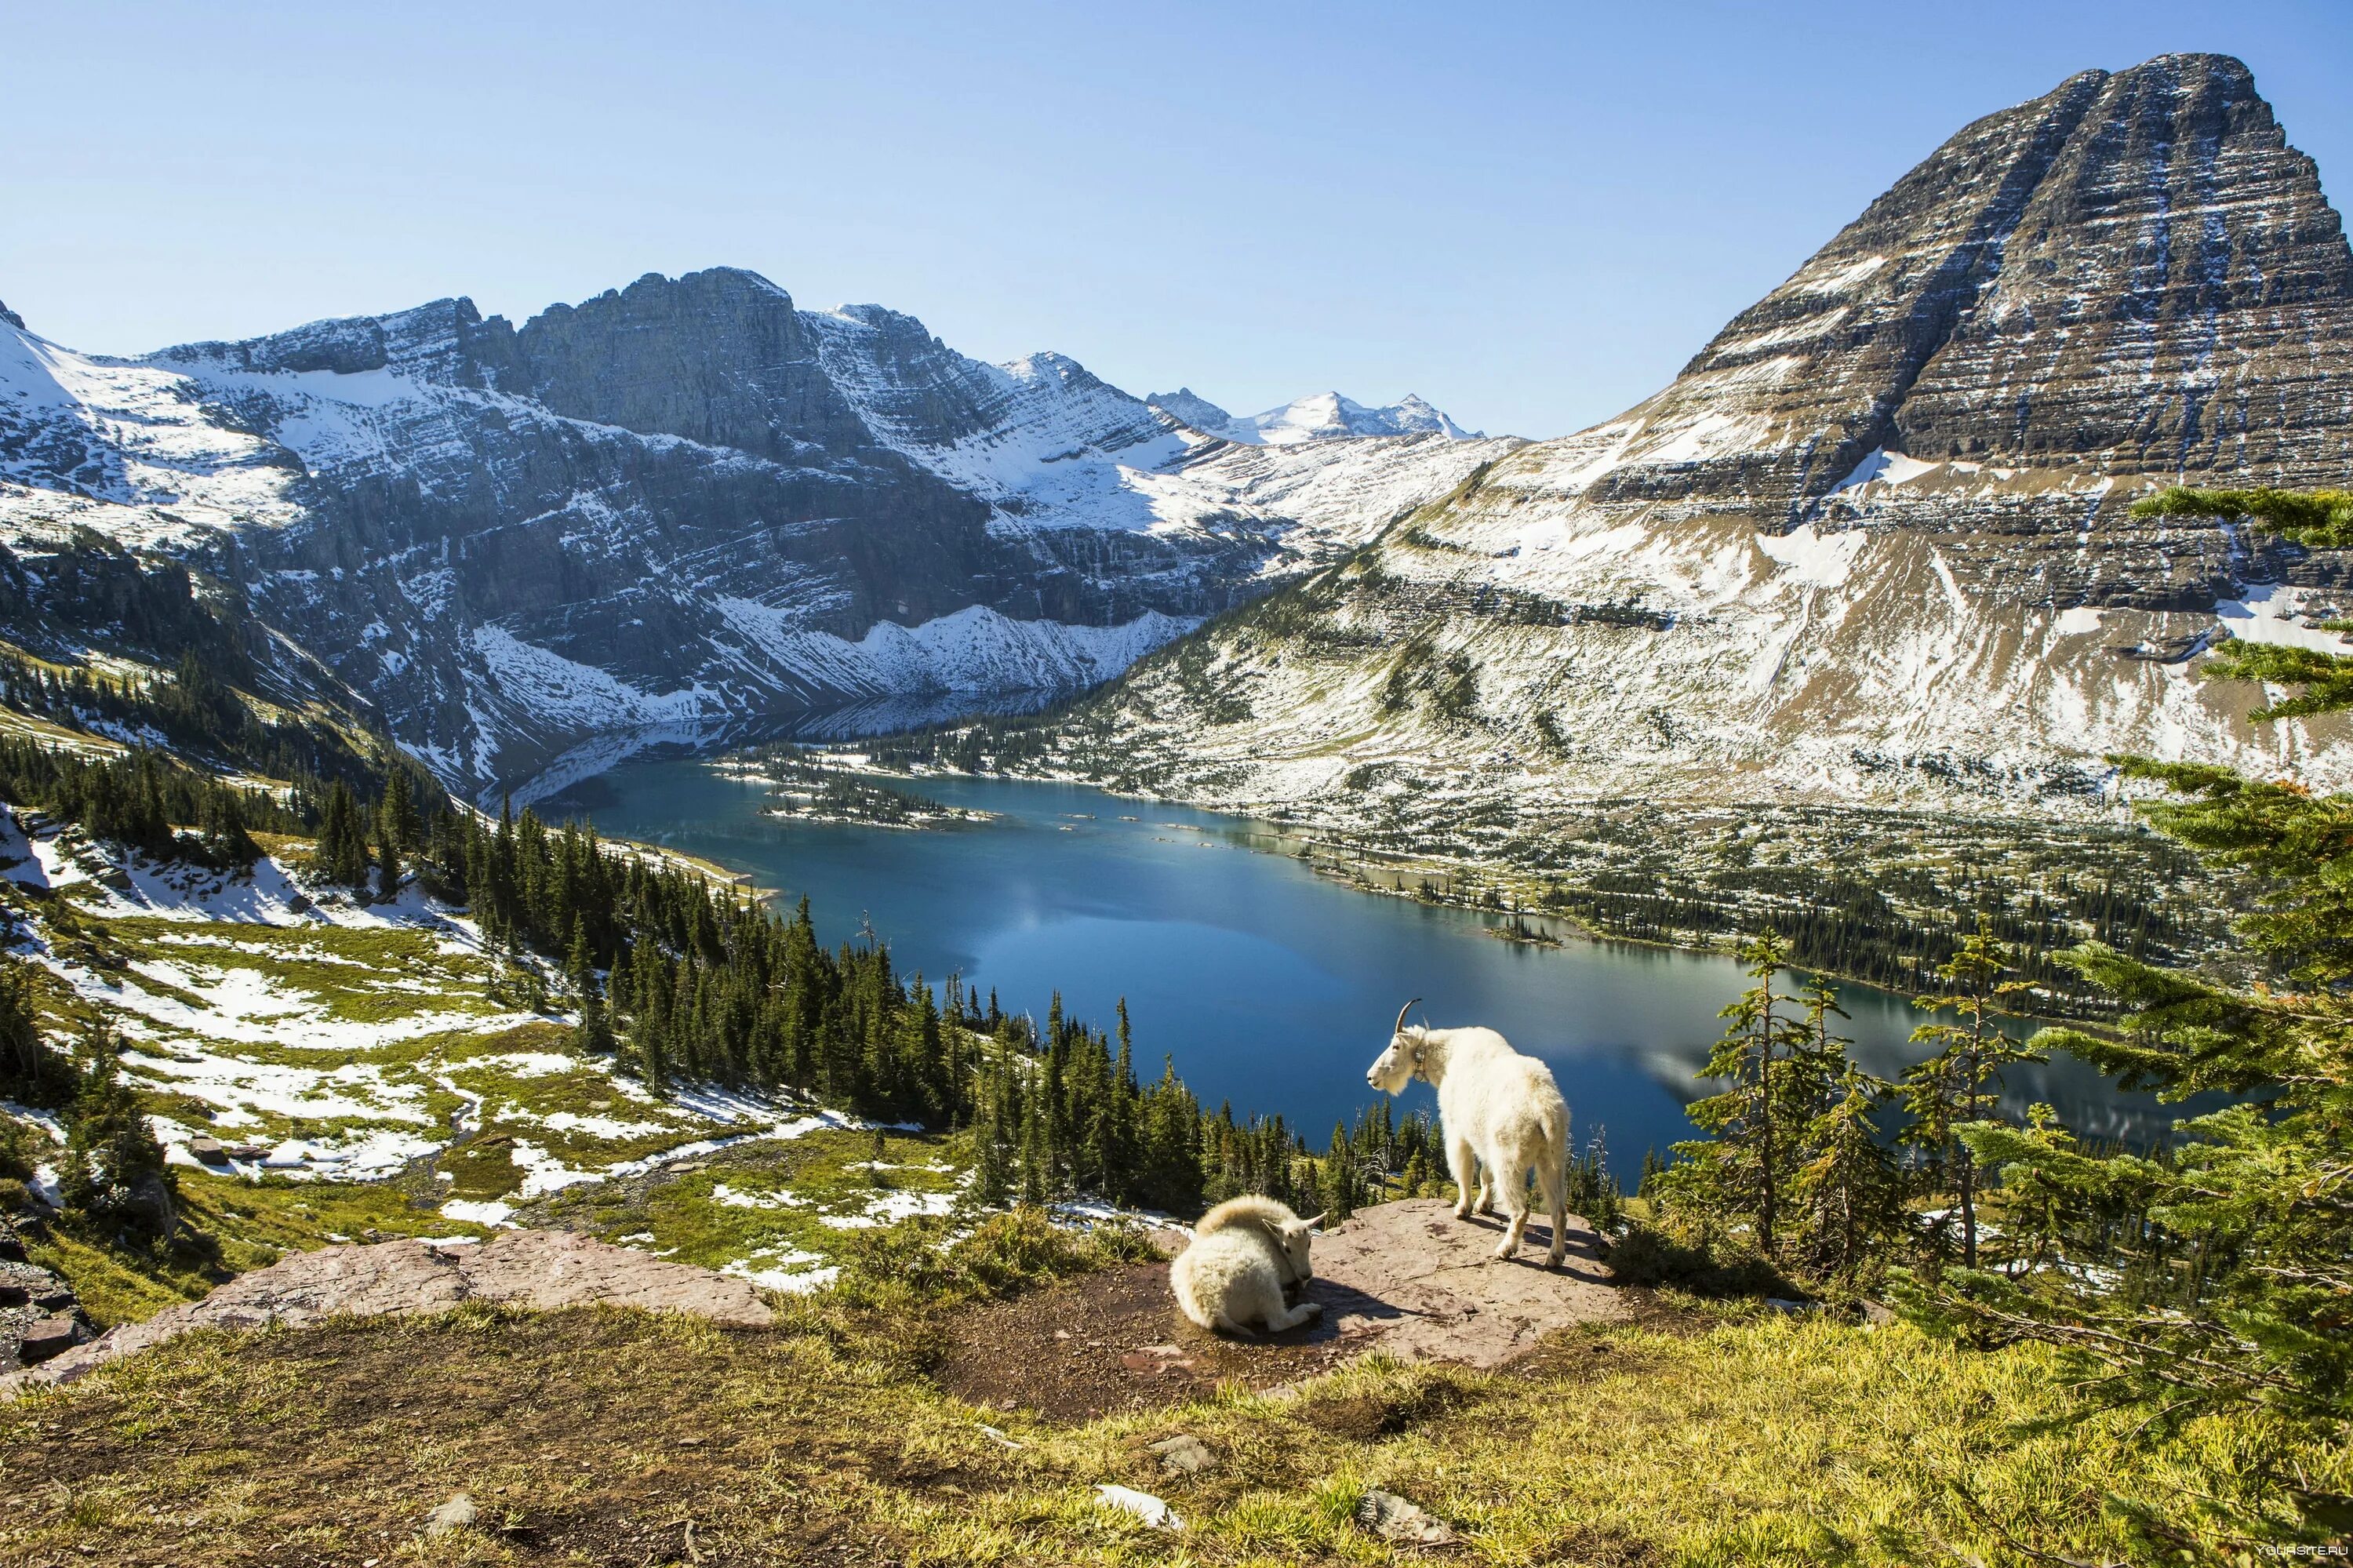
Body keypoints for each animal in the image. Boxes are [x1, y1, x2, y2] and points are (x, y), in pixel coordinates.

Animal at [1172, 1195, 1327, 1327]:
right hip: (1264, 1281)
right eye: (1287, 1248)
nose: (1306, 1274)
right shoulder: (1285, 1270)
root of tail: (1213, 1309)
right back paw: (1309, 1310)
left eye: (1309, 1243)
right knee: (1278, 1321)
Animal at [1374, 993, 1572, 1261]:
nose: (1371, 1077)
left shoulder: (1457, 1130)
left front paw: (1463, 1209)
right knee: (1559, 1210)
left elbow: (1464, 1169)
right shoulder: (1483, 1138)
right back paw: (1555, 1257)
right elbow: (1484, 1174)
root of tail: (1544, 1108)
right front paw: (1483, 1205)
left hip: (1509, 1158)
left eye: (1395, 1046)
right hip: (1553, 1159)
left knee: (1521, 1209)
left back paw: (1506, 1249)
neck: (1447, 1058)